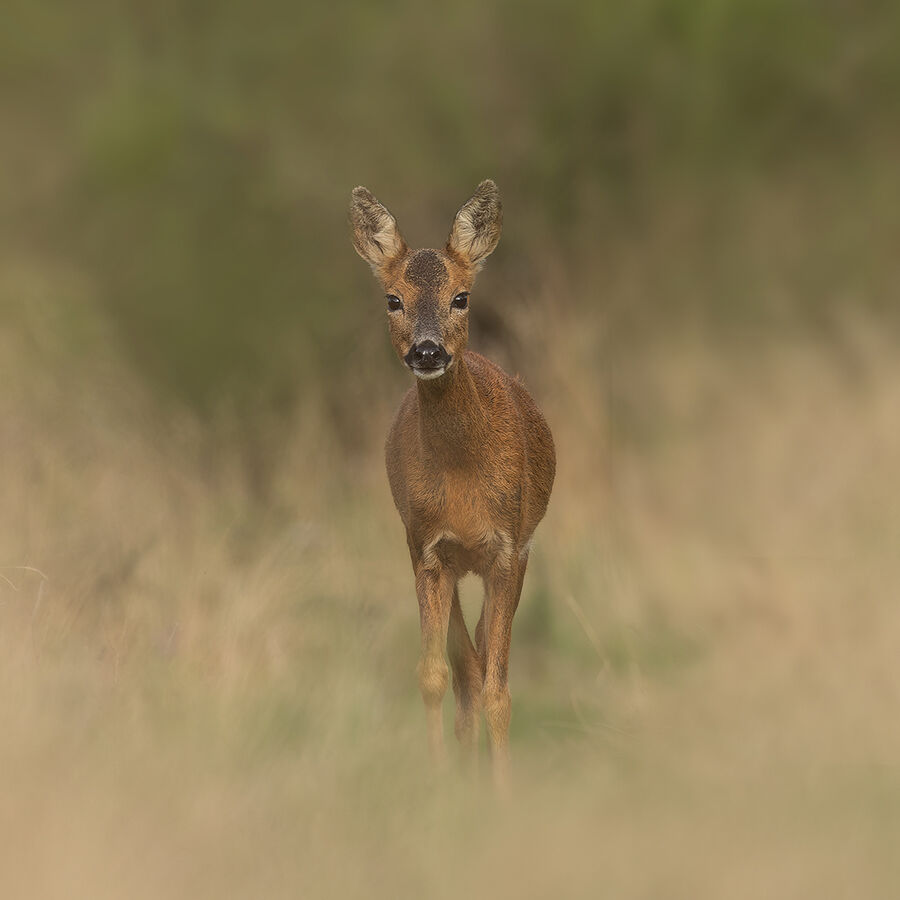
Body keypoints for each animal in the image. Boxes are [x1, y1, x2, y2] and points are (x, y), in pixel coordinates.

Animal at [350, 180, 555, 785]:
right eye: (392, 299)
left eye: (461, 297)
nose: (427, 350)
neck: (464, 483)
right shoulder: (426, 550)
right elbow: (436, 675)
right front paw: (443, 786)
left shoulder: (508, 549)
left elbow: (499, 690)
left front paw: (504, 793)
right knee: (466, 666)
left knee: (484, 662)